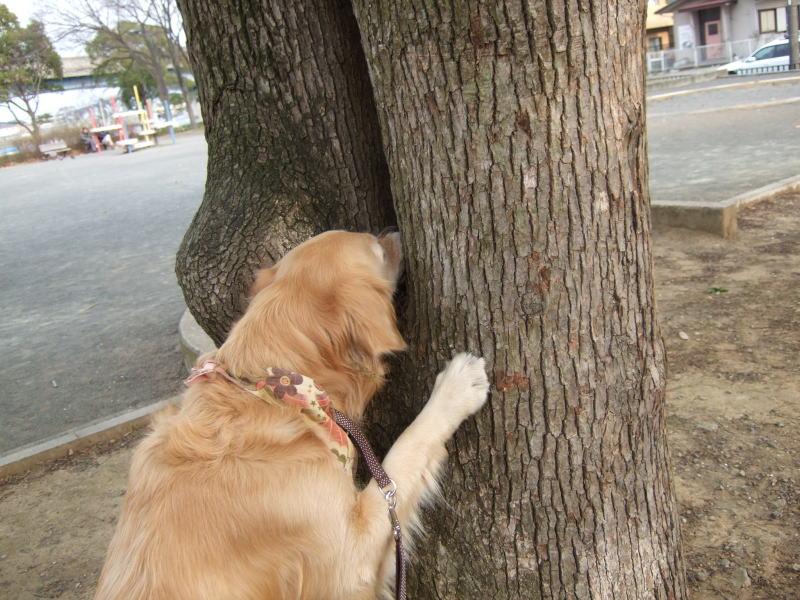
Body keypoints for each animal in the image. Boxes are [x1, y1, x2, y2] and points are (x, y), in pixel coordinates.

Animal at [97, 231, 490, 600]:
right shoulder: (348, 565)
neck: (272, 391)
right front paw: (456, 386)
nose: (394, 230)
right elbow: (401, 458)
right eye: (378, 251)